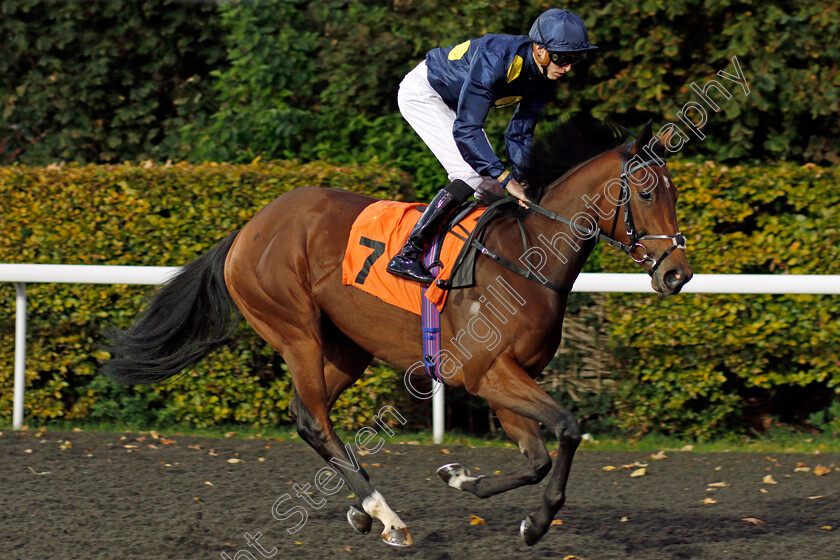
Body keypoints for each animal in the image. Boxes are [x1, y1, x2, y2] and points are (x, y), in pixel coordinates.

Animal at [105, 117, 692, 548]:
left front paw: (461, 478)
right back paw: (384, 516)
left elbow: (537, 458)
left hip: (347, 346)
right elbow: (568, 428)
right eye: (644, 193)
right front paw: (536, 523)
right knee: (315, 419)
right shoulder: (485, 373)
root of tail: (248, 228)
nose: (677, 274)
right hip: (296, 330)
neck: (527, 256)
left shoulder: (506, 380)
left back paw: (362, 511)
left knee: (305, 416)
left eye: (675, 194)